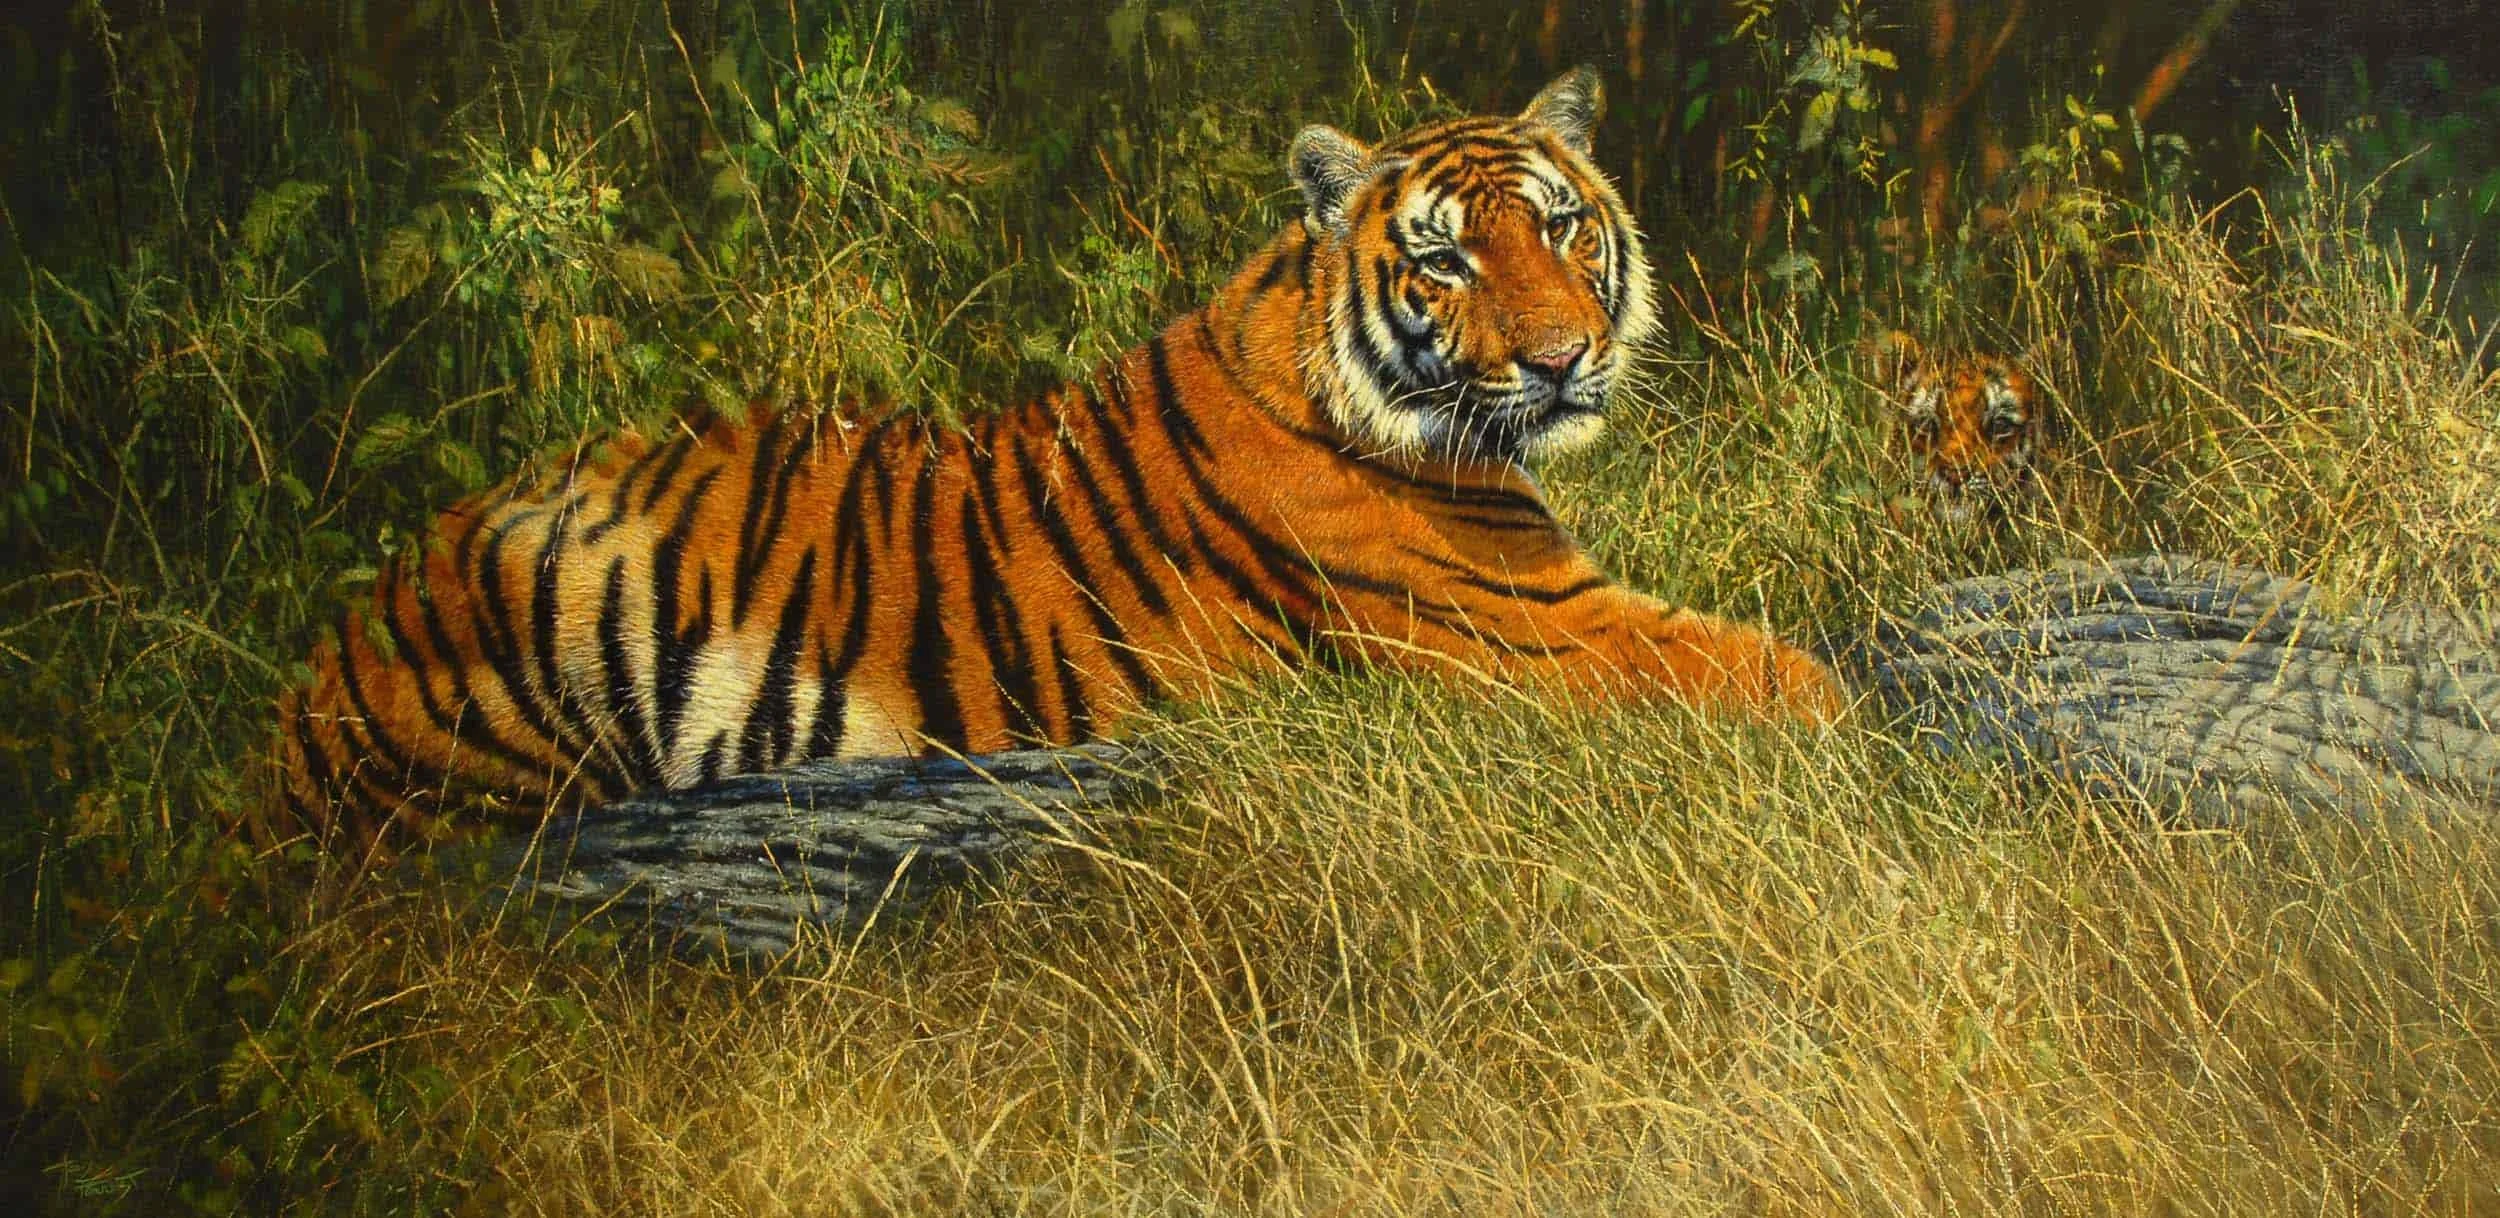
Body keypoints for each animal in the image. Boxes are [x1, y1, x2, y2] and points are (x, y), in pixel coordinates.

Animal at [270, 69, 1842, 850]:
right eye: (1450, 258)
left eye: (1561, 227)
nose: (1565, 357)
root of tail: (318, 667)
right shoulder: (1543, 631)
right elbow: (1777, 671)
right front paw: (1860, 720)